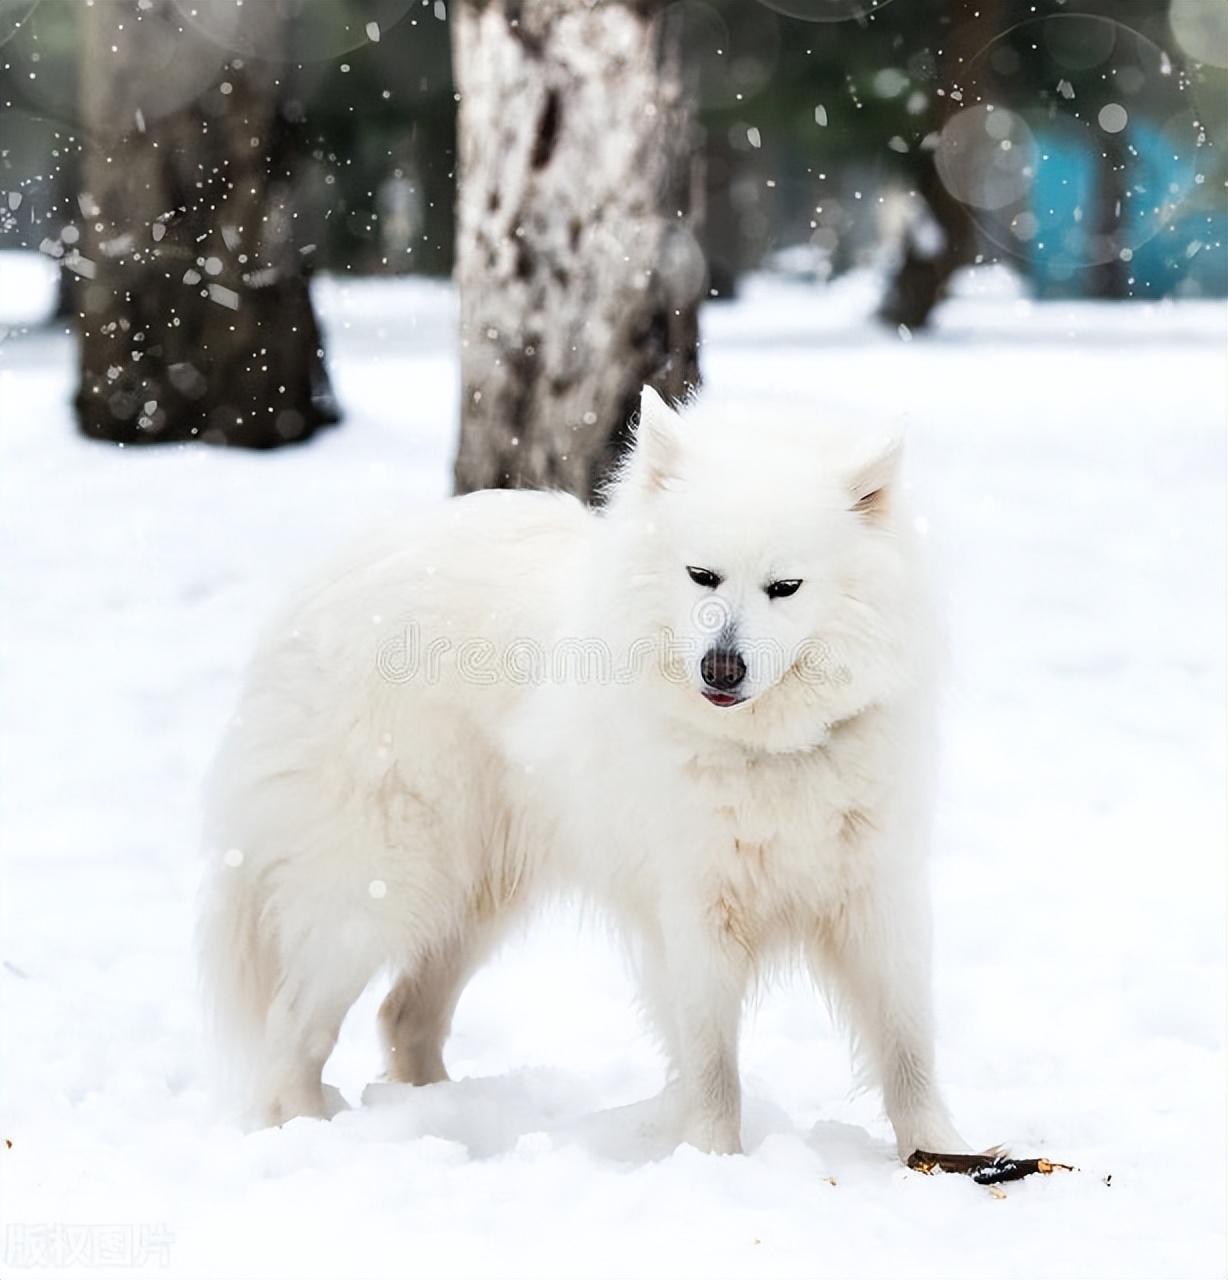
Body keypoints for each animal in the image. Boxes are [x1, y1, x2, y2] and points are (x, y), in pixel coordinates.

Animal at [199, 386, 968, 1162]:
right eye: (702, 576)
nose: (720, 668)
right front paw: (714, 1160)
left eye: (785, 587)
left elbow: (908, 1047)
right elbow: (713, 1064)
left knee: (402, 1013)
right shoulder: (693, 913)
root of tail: (315, 593)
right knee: (294, 1029)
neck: (766, 750)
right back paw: (307, 1131)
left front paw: (940, 1154)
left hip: (472, 897)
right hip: (375, 891)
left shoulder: (878, 903)